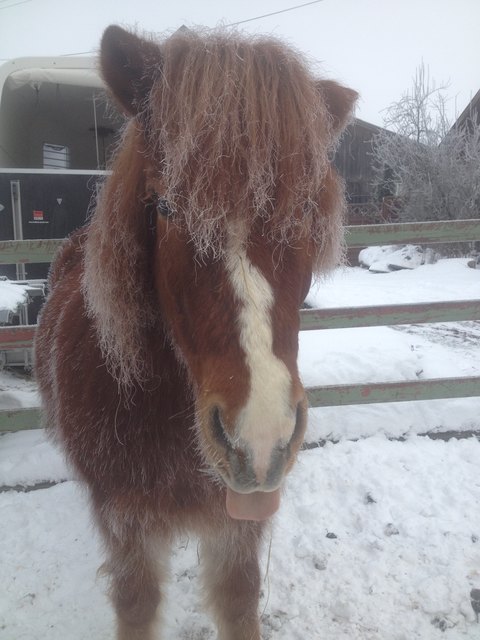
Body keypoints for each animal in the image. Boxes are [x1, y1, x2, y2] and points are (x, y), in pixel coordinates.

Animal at [35, 25, 356, 640]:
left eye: (306, 208)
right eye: (165, 205)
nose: (260, 436)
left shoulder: (238, 532)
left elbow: (239, 604)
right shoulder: (128, 535)